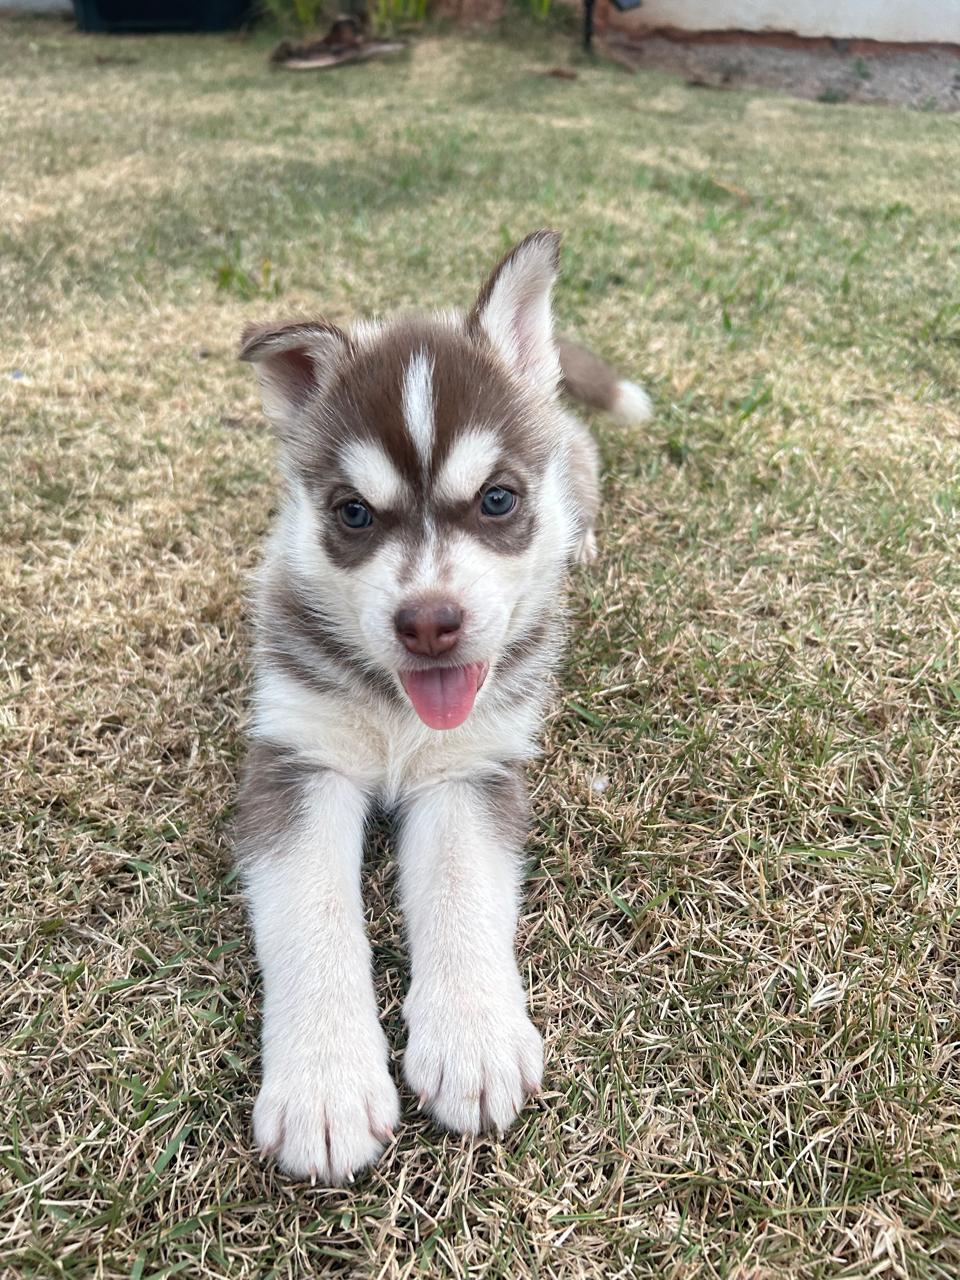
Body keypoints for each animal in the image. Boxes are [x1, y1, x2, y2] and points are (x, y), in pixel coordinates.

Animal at [235, 230, 655, 1177]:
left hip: (578, 464)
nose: (429, 621)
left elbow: (464, 889)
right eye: (354, 514)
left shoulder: (470, 771)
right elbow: (310, 914)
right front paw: (324, 1086)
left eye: (497, 499)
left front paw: (475, 1040)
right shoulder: (298, 758)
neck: (401, 712)